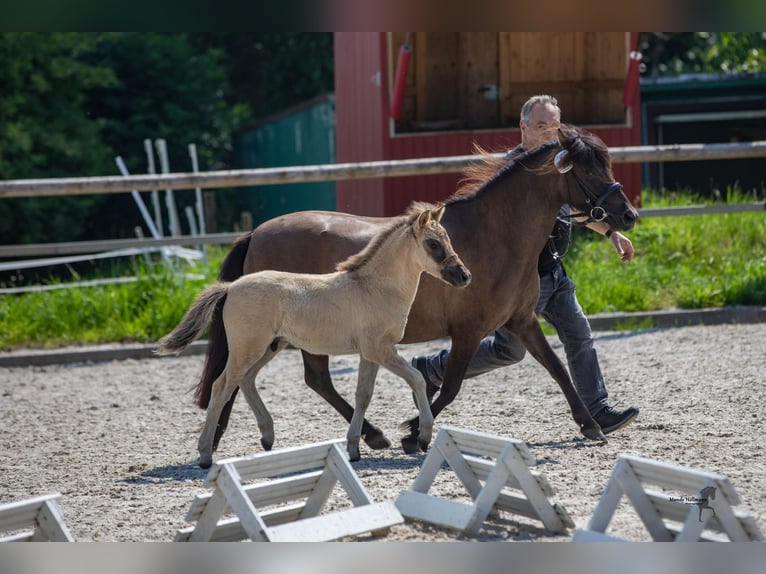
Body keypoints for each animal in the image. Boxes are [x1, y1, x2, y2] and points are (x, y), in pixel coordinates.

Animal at [156, 202, 472, 468]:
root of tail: (230, 287)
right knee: (221, 387)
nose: (464, 276)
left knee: (246, 380)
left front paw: (355, 448)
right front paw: (422, 438)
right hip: (248, 348)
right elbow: (417, 379)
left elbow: (363, 395)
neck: (374, 287)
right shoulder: (381, 350)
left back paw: (267, 437)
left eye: (447, 239)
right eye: (433, 244)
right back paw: (205, 455)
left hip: (270, 346)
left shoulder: (369, 354)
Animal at [196, 126, 636, 460]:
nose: (628, 215)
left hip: (281, 338)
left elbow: (558, 367)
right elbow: (452, 385)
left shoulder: (522, 321)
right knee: (290, 379)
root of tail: (256, 232)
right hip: (289, 337)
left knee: (269, 379)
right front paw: (413, 433)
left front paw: (593, 424)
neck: (495, 234)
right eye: (588, 168)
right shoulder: (468, 330)